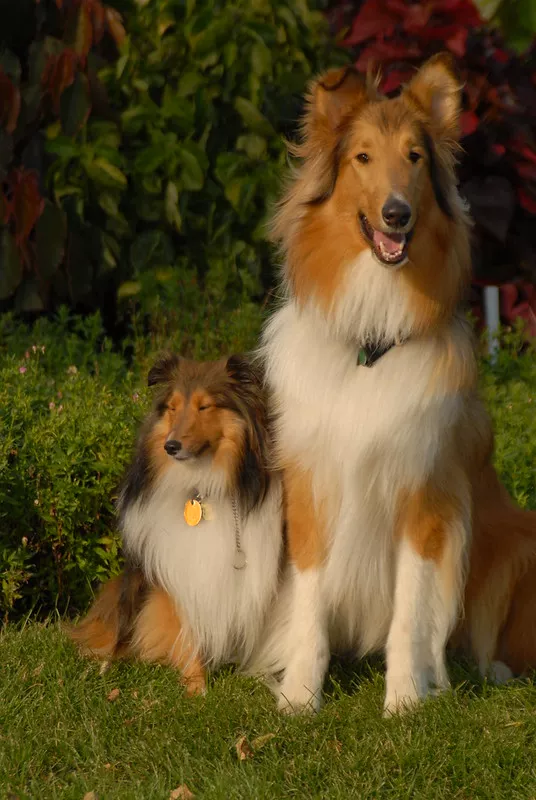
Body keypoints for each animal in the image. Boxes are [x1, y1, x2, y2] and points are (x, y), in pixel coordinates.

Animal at [71, 354, 284, 696]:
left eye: (204, 406)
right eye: (172, 407)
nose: (170, 446)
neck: (201, 484)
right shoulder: (177, 570)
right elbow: (186, 631)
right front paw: (196, 685)